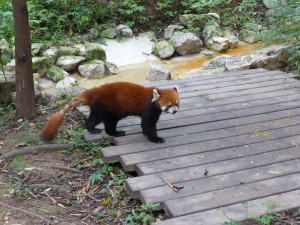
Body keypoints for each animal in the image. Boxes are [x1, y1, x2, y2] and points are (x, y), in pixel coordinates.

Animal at [41, 81, 179, 143]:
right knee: (109, 122)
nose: (175, 111)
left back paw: (92, 129)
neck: (153, 98)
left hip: (98, 107)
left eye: (177, 103)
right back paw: (115, 132)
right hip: (110, 107)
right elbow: (147, 124)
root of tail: (93, 92)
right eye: (169, 105)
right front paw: (155, 138)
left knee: (94, 118)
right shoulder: (148, 108)